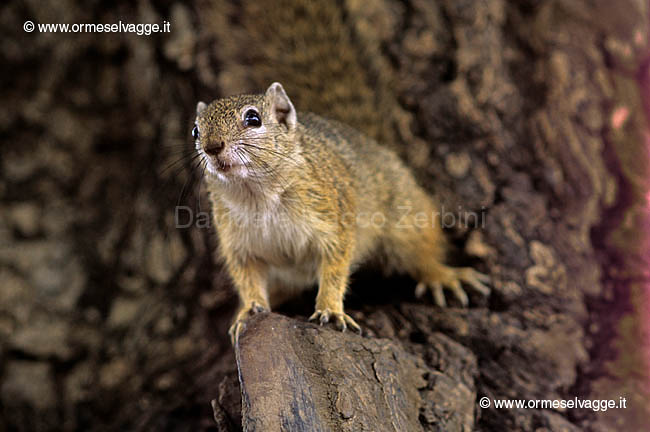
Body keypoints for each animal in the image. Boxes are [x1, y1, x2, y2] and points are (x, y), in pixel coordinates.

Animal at [192, 82, 486, 342]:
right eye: (195, 131)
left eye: (253, 118)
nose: (212, 147)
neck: (257, 195)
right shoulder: (238, 245)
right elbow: (247, 278)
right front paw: (249, 309)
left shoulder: (334, 223)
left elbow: (334, 268)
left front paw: (330, 310)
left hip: (406, 223)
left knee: (422, 254)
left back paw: (442, 276)